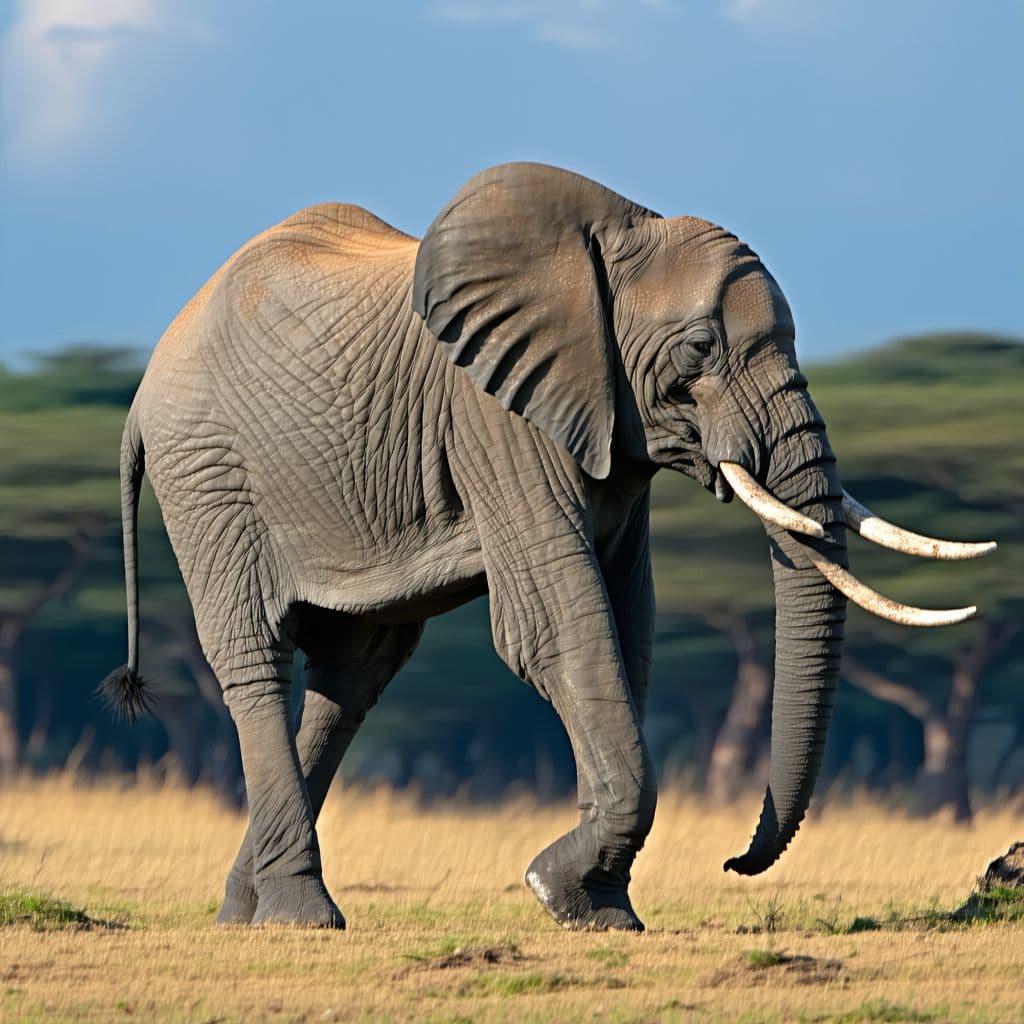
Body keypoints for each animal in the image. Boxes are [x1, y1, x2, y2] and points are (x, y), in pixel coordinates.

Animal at [100, 162, 994, 931]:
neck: (622, 229)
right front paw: (559, 892)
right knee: (256, 657)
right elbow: (556, 628)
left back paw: (242, 912)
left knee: (353, 676)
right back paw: (301, 917)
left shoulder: (609, 432)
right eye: (700, 351)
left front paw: (601, 909)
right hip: (209, 479)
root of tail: (141, 393)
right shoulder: (495, 417)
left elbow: (627, 626)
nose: (736, 863)